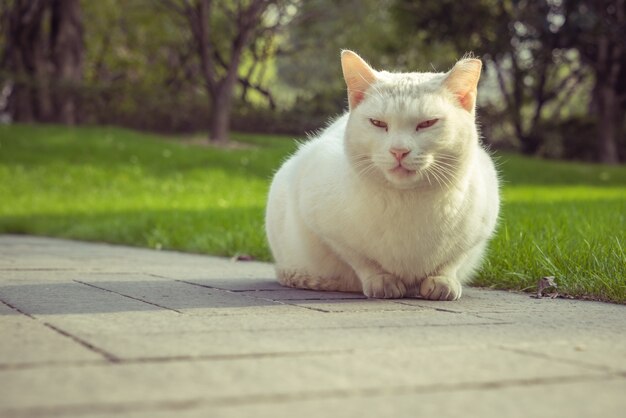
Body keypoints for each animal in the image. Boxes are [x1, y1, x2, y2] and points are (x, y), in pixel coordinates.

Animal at [264, 50, 498, 300]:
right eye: (377, 123)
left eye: (427, 123)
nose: (399, 151)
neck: (407, 203)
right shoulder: (323, 224)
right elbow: (360, 258)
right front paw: (381, 280)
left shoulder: (479, 230)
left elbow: (453, 259)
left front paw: (442, 280)